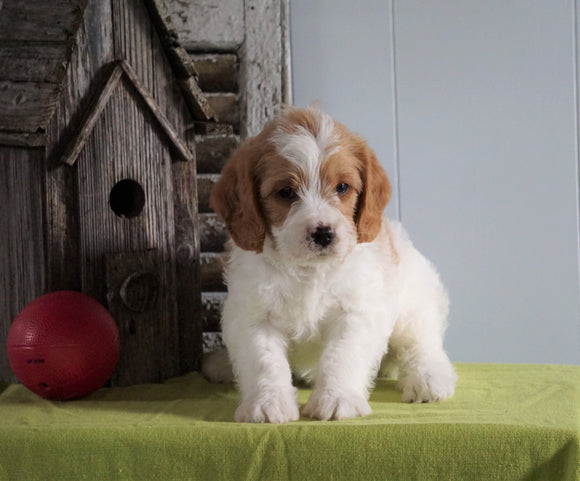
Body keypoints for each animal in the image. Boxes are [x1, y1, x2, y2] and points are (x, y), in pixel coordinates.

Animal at [206, 107, 456, 422]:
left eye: (342, 187)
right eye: (285, 192)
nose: (323, 233)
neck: (308, 270)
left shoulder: (356, 312)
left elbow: (342, 354)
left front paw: (337, 399)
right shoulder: (254, 316)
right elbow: (264, 361)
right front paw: (267, 403)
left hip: (414, 303)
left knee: (421, 342)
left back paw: (429, 378)